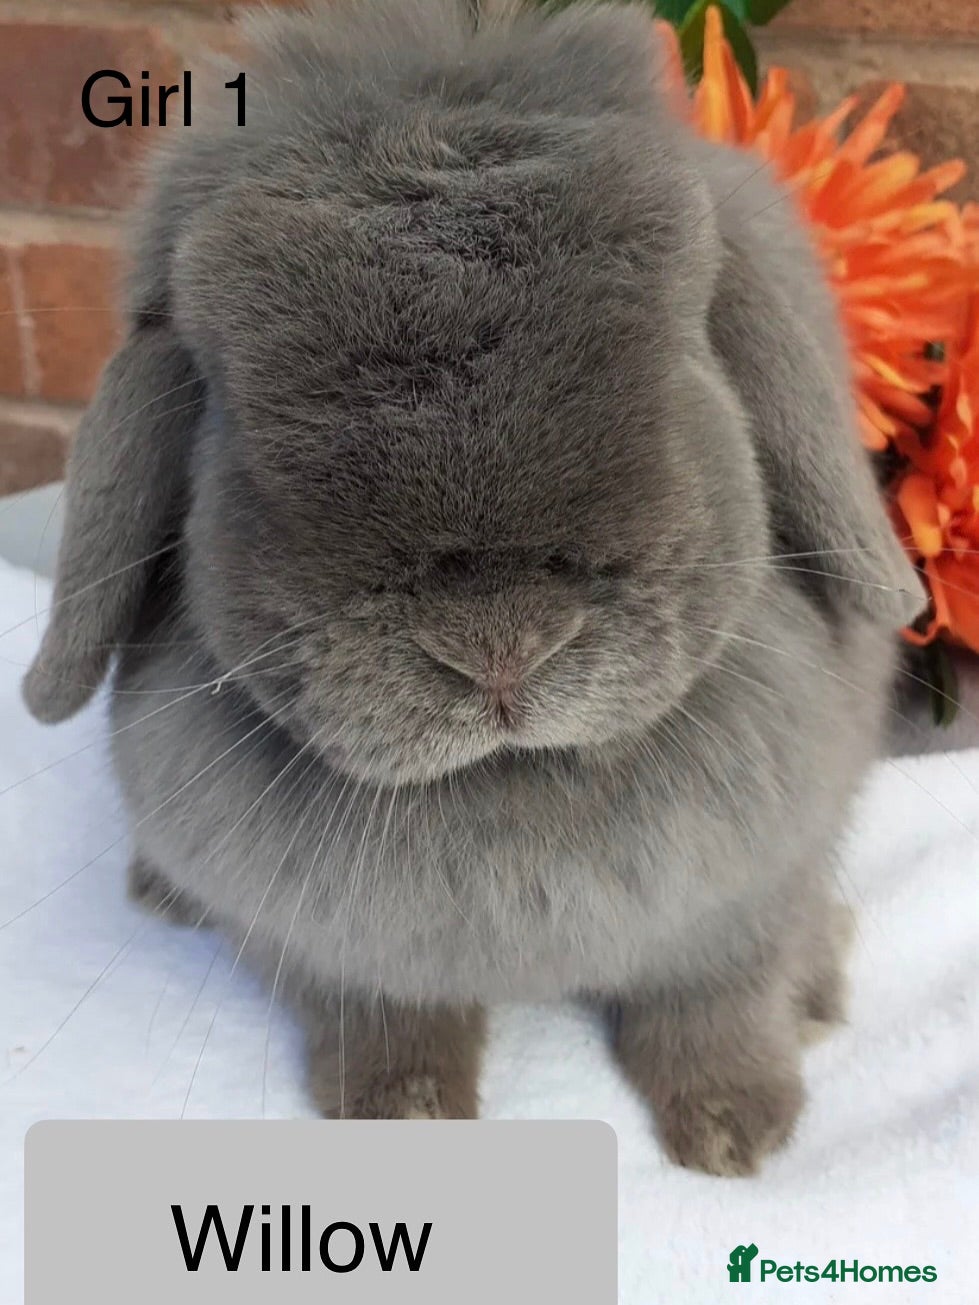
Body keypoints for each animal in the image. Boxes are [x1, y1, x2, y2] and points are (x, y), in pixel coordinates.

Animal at [23, 0, 924, 1174]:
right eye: (229, 396)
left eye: (684, 336)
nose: (499, 646)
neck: (510, 782)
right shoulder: (344, 960)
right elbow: (388, 1025)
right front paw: (402, 1119)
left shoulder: (742, 901)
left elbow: (712, 1007)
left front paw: (738, 1134)